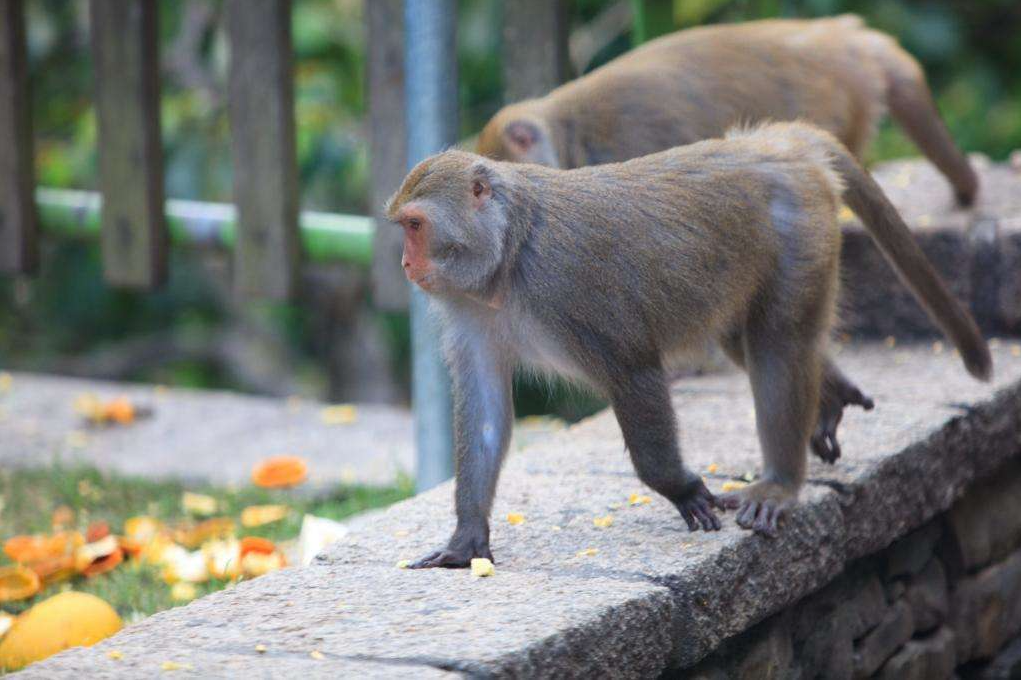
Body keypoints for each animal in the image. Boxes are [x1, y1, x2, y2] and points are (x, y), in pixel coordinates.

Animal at [387, 122, 988, 567]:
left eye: (415, 226)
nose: (405, 265)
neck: (507, 260)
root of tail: (769, 145)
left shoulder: (572, 287)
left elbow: (634, 373)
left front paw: (679, 487)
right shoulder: (469, 310)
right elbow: (485, 410)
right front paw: (467, 539)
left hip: (802, 232)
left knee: (779, 344)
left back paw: (780, 483)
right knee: (745, 339)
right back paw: (831, 395)